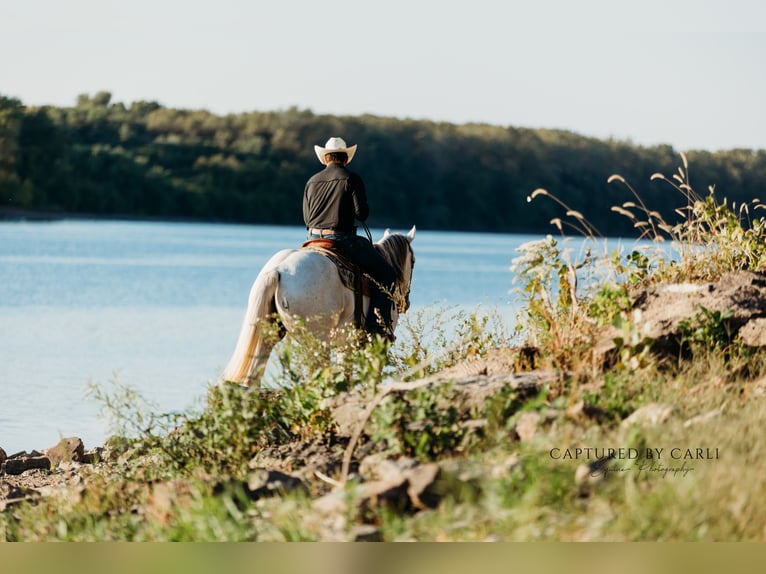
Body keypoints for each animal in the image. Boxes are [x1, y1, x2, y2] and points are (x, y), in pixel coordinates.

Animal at [221, 226, 416, 388]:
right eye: (413, 261)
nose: (406, 303)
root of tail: (278, 270)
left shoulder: (346, 343)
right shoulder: (375, 343)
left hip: (268, 335)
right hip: (318, 343)